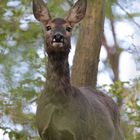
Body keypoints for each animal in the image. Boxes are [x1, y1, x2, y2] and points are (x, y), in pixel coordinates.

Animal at [32, 0, 123, 140]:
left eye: (68, 28)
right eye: (48, 27)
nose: (58, 36)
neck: (57, 101)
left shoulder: (78, 131)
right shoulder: (43, 131)